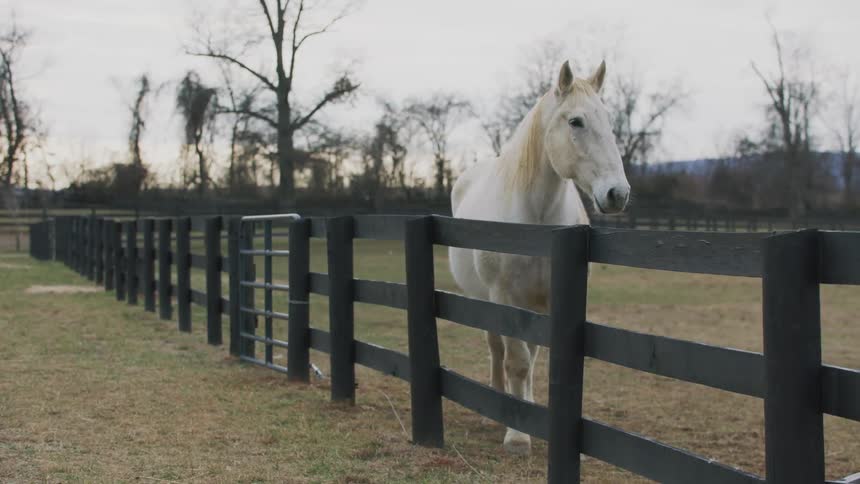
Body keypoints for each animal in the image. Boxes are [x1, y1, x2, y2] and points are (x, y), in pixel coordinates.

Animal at [448, 60, 630, 455]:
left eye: (609, 122)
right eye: (575, 121)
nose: (617, 194)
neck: (536, 226)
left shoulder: (546, 300)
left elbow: (531, 360)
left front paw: (528, 418)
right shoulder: (505, 298)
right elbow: (516, 362)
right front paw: (516, 436)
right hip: (485, 300)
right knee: (496, 349)